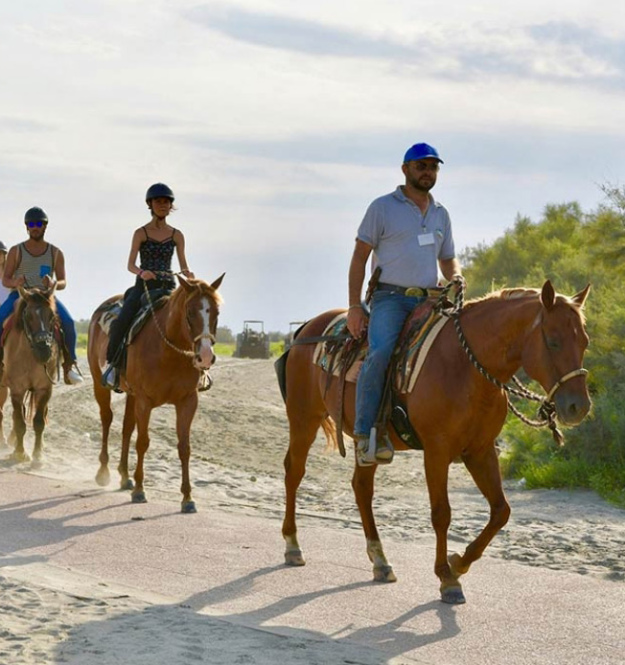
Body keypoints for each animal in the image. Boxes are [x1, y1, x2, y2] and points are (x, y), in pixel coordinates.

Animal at [1, 286, 59, 462]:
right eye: (28, 316)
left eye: (52, 315)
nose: (44, 350)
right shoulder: (17, 389)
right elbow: (19, 422)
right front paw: (20, 453)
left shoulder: (45, 389)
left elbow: (39, 421)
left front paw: (38, 455)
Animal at [88, 272, 224, 510]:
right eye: (190, 312)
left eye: (216, 312)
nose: (206, 357)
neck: (169, 351)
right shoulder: (145, 401)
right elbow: (143, 442)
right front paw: (139, 490)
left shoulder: (188, 401)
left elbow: (184, 447)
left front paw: (187, 498)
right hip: (100, 384)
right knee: (106, 419)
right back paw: (103, 472)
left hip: (131, 395)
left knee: (126, 427)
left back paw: (124, 476)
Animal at [282, 280, 588, 600]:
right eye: (553, 341)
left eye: (585, 342)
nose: (578, 407)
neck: (465, 367)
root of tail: (305, 329)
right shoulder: (437, 451)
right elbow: (442, 513)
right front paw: (446, 577)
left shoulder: (481, 451)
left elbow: (500, 511)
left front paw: (459, 563)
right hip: (303, 418)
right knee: (294, 471)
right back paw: (292, 546)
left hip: (363, 440)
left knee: (361, 488)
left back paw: (381, 561)